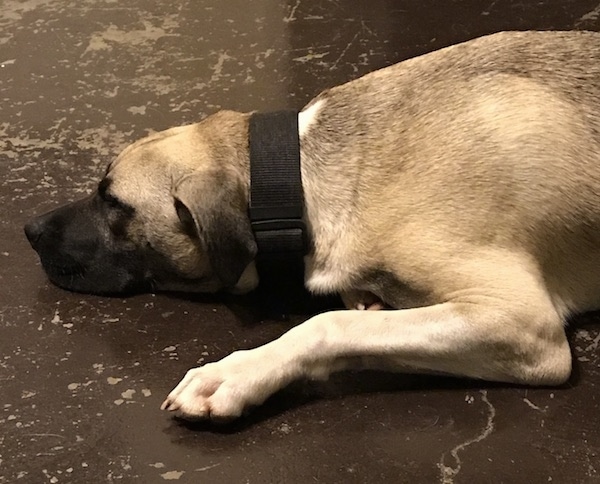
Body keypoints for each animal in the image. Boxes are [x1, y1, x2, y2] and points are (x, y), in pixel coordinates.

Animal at [23, 31, 600, 420]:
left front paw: (238, 372)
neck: (300, 175)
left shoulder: (522, 324)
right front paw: (366, 299)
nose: (28, 230)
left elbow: (328, 325)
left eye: (113, 202)